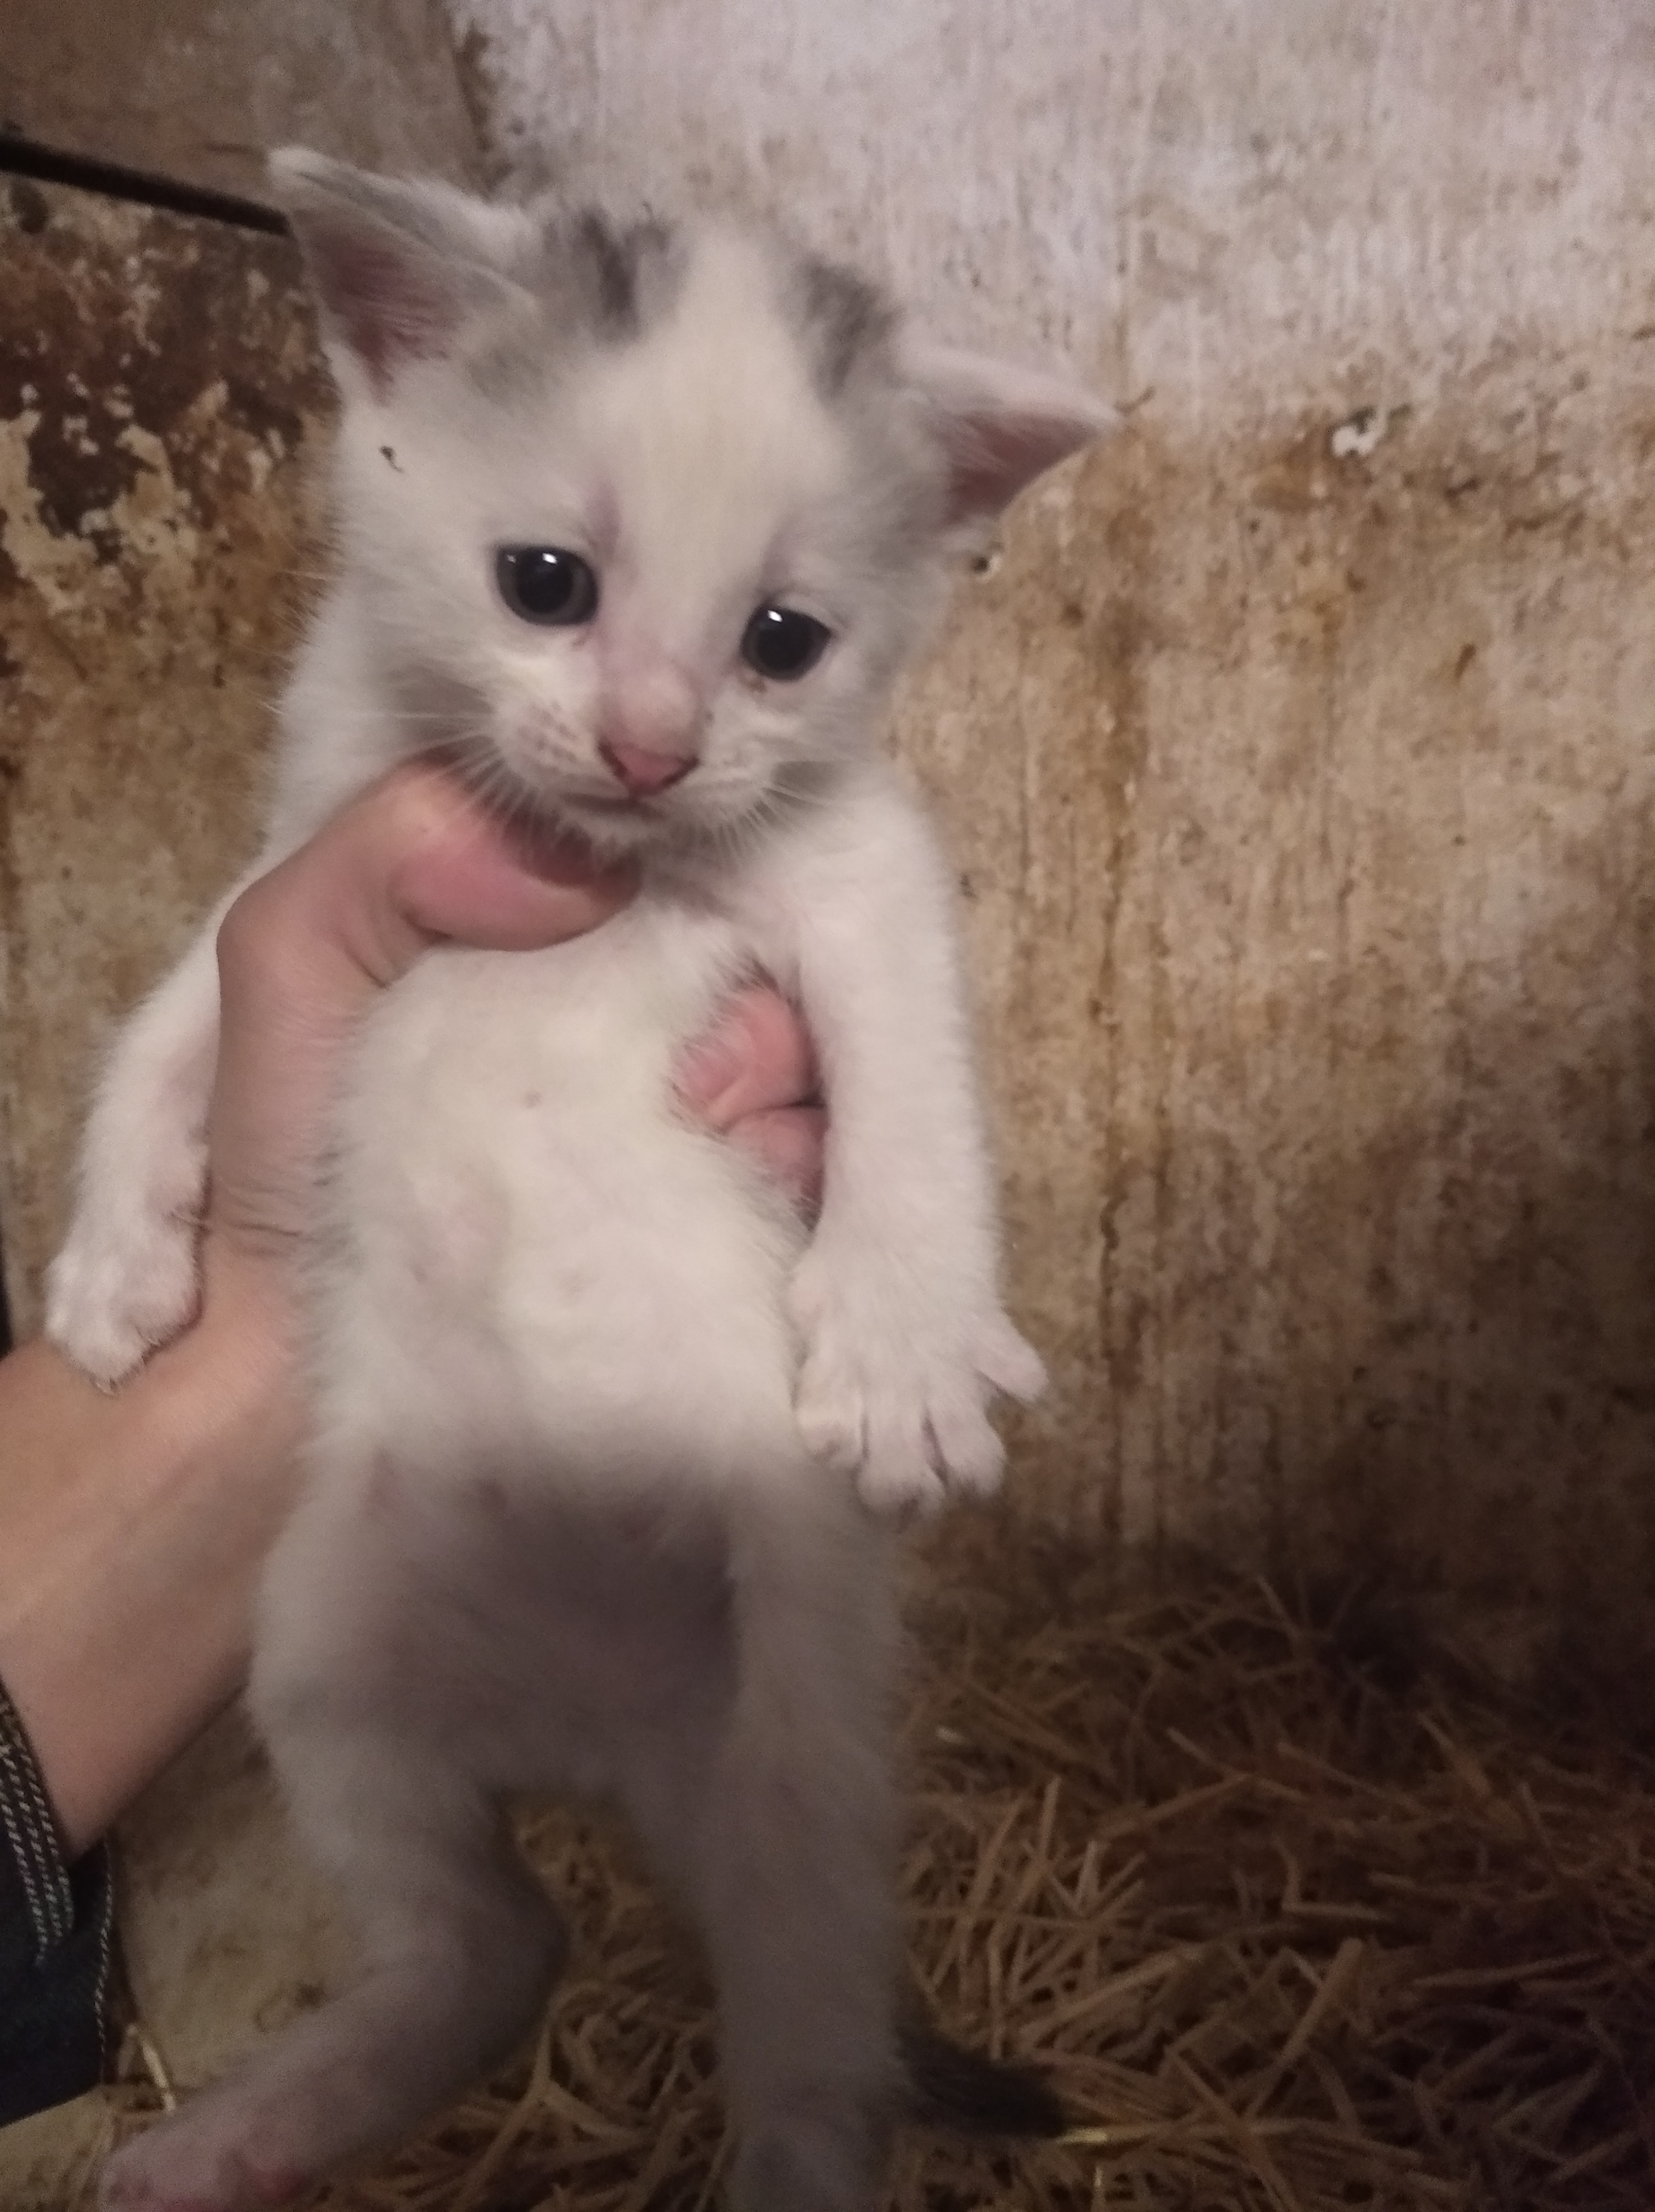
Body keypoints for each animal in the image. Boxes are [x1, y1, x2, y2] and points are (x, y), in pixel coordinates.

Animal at [49, 149, 1111, 2212]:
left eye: (783, 640)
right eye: (545, 584)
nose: (650, 744)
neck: (578, 851)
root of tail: (606, 1742)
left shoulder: (856, 862)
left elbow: (912, 1091)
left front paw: (902, 1340)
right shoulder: (298, 874)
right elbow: (168, 1015)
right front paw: (112, 1268)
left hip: (800, 1719)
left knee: (809, 2052)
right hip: (330, 1664)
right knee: (490, 1950)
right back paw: (238, 2135)